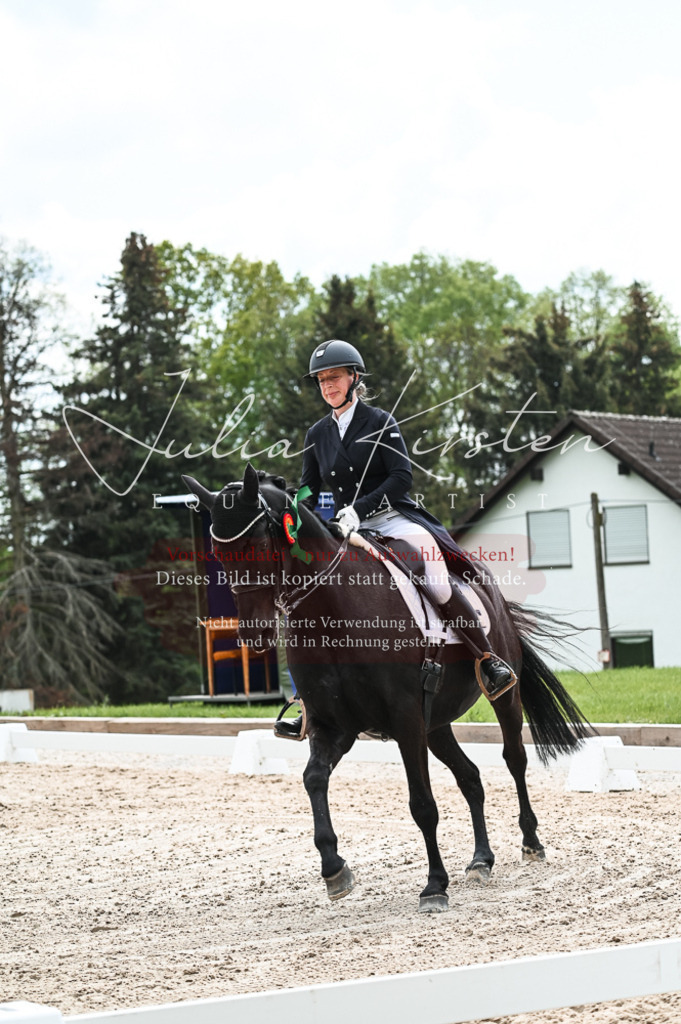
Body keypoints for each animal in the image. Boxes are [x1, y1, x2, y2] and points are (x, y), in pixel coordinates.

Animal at [183, 465, 591, 913]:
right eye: (218, 553)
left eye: (256, 542)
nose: (252, 636)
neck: (333, 613)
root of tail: (490, 590)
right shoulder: (335, 725)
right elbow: (313, 779)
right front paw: (334, 870)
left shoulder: (405, 718)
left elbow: (422, 805)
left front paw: (434, 886)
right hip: (436, 724)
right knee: (470, 777)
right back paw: (481, 860)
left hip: (500, 697)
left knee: (514, 758)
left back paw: (531, 842)